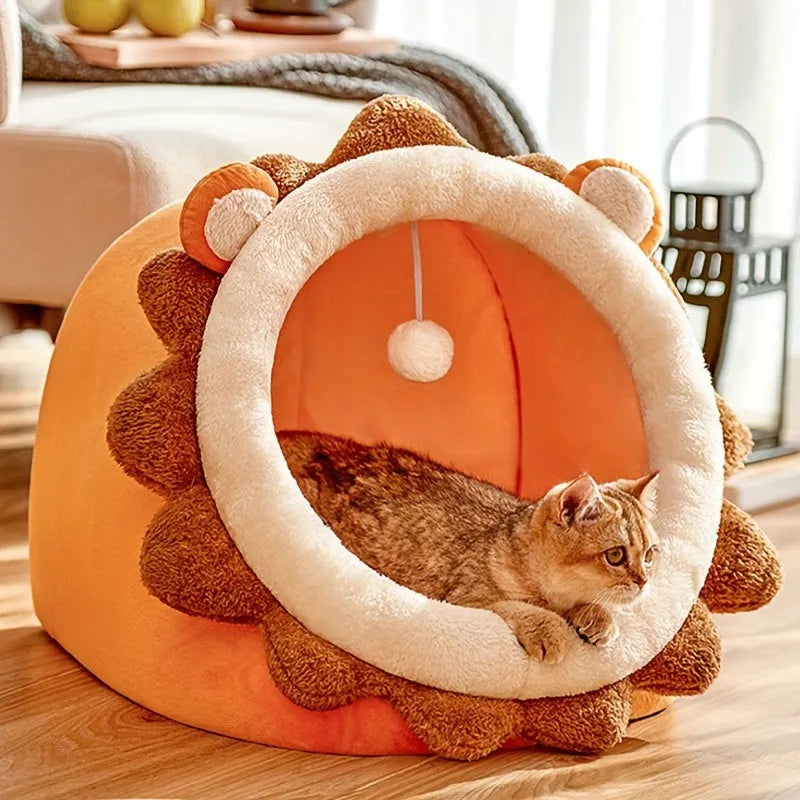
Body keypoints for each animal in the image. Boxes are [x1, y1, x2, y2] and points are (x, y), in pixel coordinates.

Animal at [278, 432, 660, 664]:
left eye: (650, 554)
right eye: (615, 555)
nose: (643, 581)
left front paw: (597, 618)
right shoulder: (467, 599)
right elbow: (519, 607)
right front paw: (549, 630)